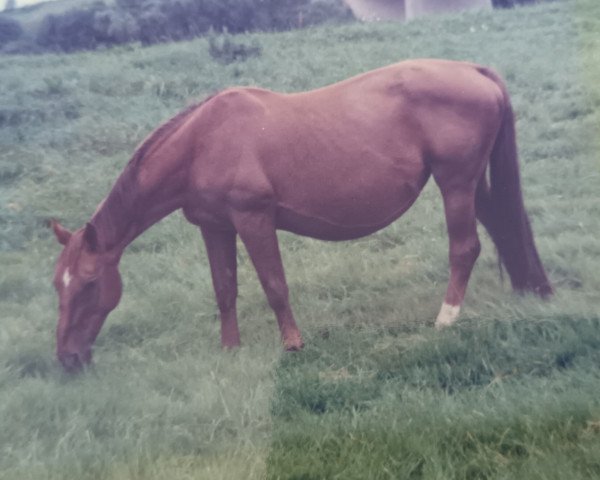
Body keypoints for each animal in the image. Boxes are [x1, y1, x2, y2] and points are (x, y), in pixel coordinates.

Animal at [51, 60, 552, 374]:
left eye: (90, 283)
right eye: (59, 284)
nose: (68, 358)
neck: (202, 143)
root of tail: (471, 70)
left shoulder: (253, 219)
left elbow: (274, 285)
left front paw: (292, 344)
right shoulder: (214, 227)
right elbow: (224, 290)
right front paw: (230, 349)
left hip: (455, 184)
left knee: (465, 247)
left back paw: (446, 318)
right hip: (471, 184)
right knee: (504, 225)